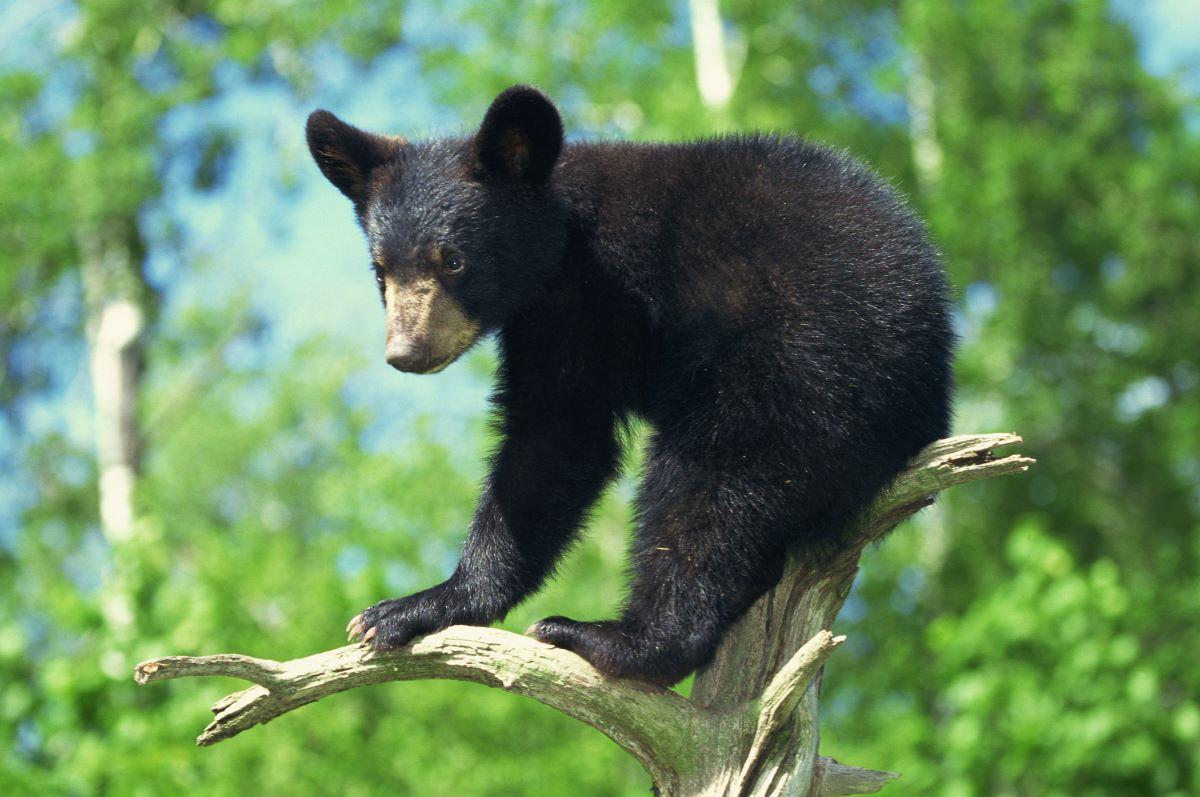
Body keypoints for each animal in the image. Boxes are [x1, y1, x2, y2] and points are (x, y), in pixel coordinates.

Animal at [305, 85, 954, 687]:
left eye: (454, 260)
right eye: (381, 271)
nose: (406, 353)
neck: (563, 235)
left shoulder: (596, 293)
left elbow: (563, 436)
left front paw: (413, 606)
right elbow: (553, 434)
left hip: (798, 371)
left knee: (710, 491)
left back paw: (616, 638)